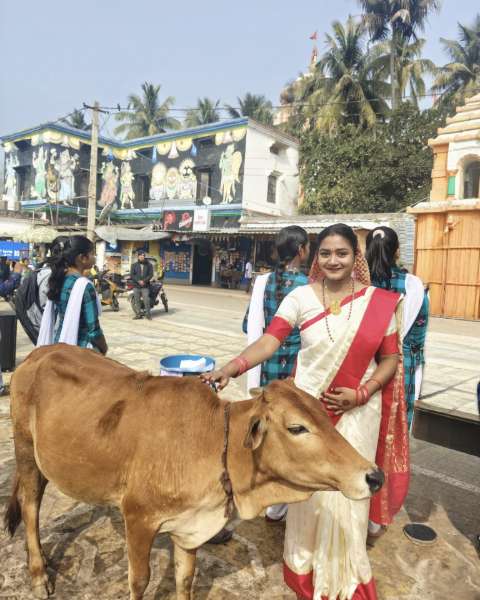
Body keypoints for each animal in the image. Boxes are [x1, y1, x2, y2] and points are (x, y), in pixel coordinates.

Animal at [4, 344, 384, 600]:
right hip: (25, 448)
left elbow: (185, 578)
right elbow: (139, 580)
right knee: (30, 506)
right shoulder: (138, 518)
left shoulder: (189, 525)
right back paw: (38, 575)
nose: (374, 476)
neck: (217, 444)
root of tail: (39, 352)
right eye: (297, 428)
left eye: (324, 415)